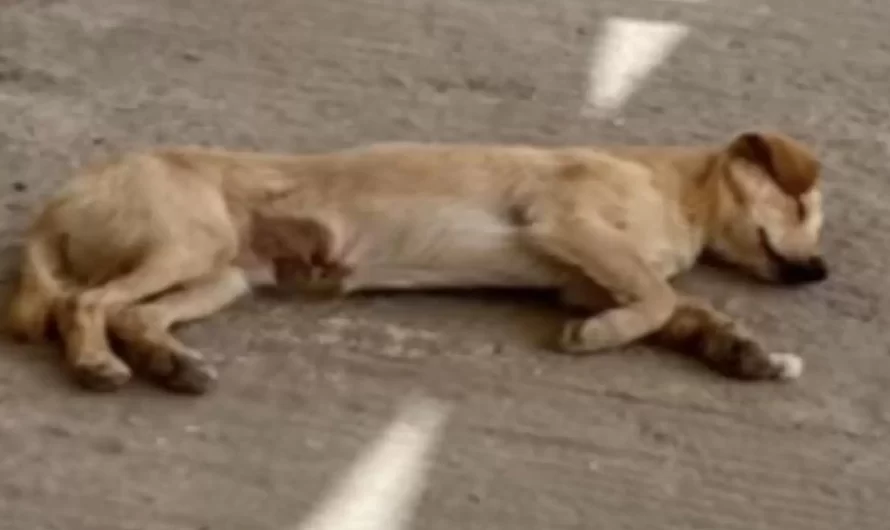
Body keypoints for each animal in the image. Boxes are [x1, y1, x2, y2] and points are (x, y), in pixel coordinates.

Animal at [5, 129, 824, 392]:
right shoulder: (566, 223)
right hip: (188, 243)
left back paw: (167, 363)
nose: (820, 275)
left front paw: (742, 351)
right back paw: (96, 363)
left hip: (222, 274)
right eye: (802, 207)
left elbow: (681, 307)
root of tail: (63, 197)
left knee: (134, 315)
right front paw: (603, 339)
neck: (676, 191)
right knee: (84, 303)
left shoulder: (583, 280)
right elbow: (656, 296)